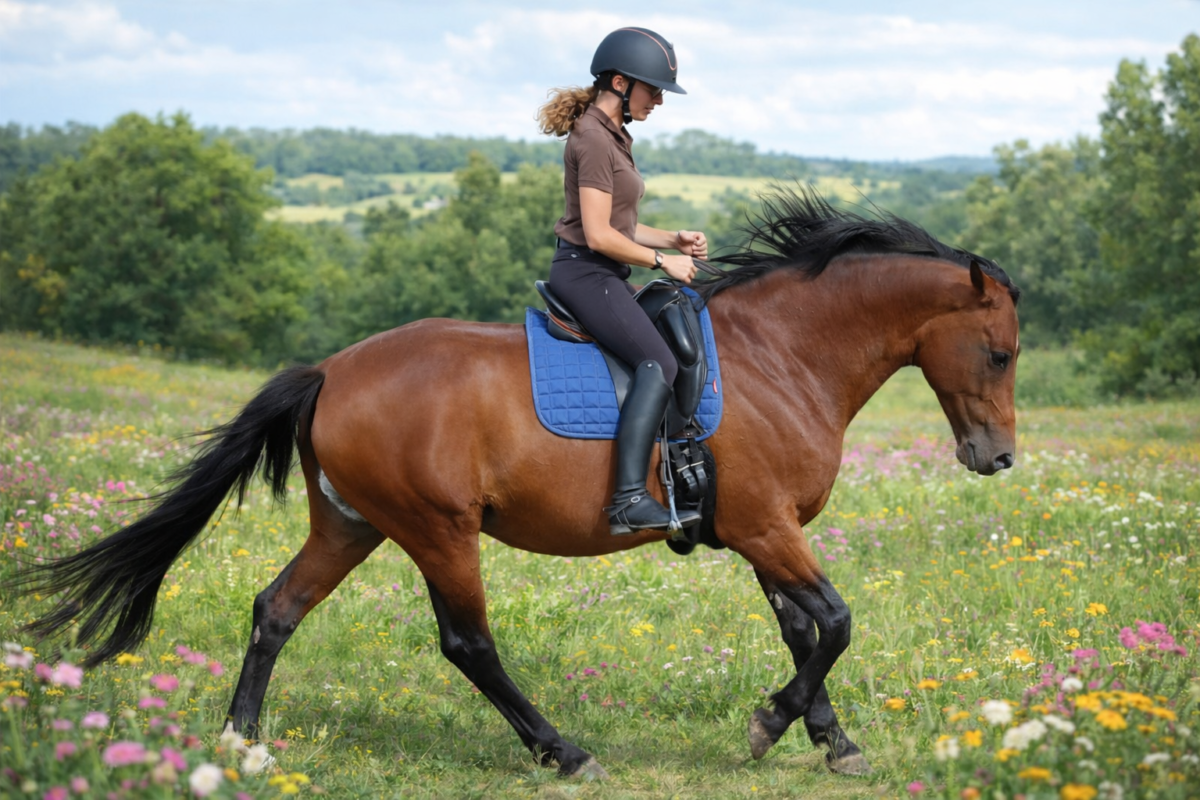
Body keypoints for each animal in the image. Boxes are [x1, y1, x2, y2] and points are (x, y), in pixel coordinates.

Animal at [15, 189, 1020, 780]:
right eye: (1002, 352)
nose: (998, 460)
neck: (782, 358)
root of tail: (332, 371)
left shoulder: (760, 531)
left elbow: (805, 631)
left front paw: (828, 739)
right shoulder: (766, 527)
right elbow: (836, 622)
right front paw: (773, 724)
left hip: (350, 525)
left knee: (276, 609)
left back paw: (240, 743)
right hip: (437, 529)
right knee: (468, 644)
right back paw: (561, 750)